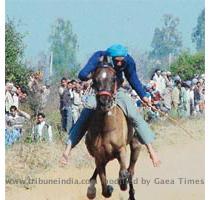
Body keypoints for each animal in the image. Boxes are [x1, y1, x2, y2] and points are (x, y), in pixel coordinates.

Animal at [85, 61, 141, 200]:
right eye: (95, 79)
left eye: (114, 78)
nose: (104, 102)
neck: (106, 128)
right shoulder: (98, 156)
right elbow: (104, 187)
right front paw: (107, 188)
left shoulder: (121, 149)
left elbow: (123, 174)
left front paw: (123, 182)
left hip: (135, 144)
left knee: (131, 170)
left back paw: (131, 193)